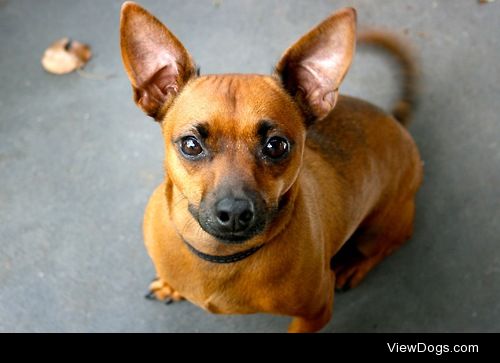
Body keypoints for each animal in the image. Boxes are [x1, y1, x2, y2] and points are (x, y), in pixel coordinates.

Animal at [120, 2, 422, 332]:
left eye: (276, 146)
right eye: (190, 145)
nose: (234, 212)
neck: (218, 257)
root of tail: (395, 121)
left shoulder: (315, 312)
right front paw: (170, 285)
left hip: (376, 232)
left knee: (389, 244)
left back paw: (353, 265)